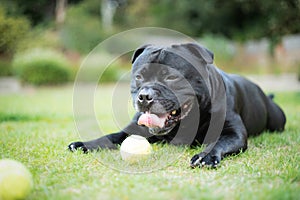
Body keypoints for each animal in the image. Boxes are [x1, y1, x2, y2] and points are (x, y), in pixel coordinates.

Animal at [68, 43, 286, 168]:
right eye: (138, 77)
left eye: (172, 77)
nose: (145, 96)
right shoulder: (132, 130)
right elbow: (110, 137)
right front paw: (85, 144)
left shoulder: (234, 133)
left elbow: (218, 143)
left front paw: (206, 157)